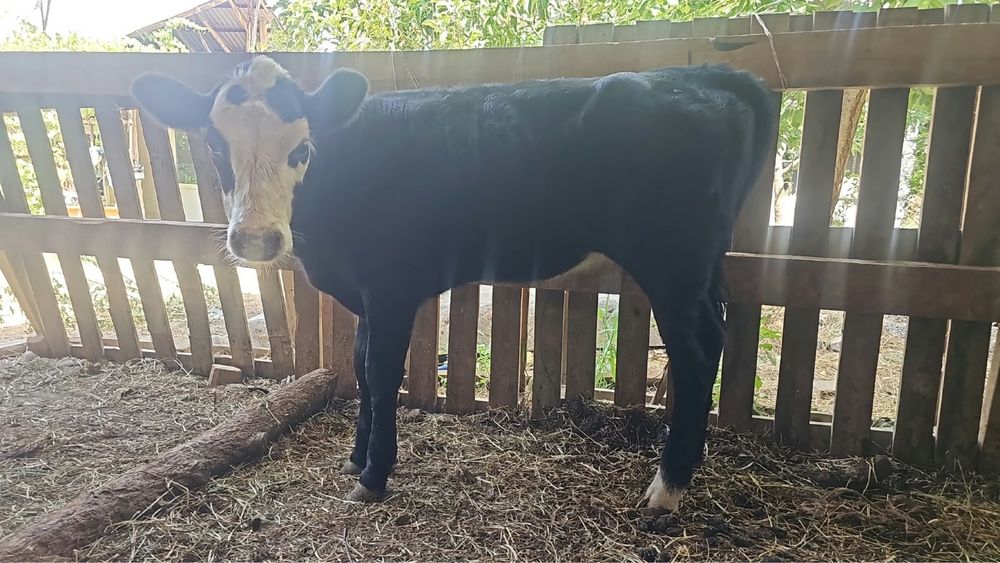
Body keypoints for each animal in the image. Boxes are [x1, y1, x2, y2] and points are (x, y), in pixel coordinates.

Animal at [131, 55, 777, 513]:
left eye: (302, 148)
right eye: (214, 144)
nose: (256, 240)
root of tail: (707, 73)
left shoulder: (393, 286)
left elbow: (382, 371)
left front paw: (373, 476)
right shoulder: (364, 292)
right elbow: (359, 364)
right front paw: (354, 459)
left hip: (673, 260)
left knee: (698, 351)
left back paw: (666, 489)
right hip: (702, 267)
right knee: (715, 339)